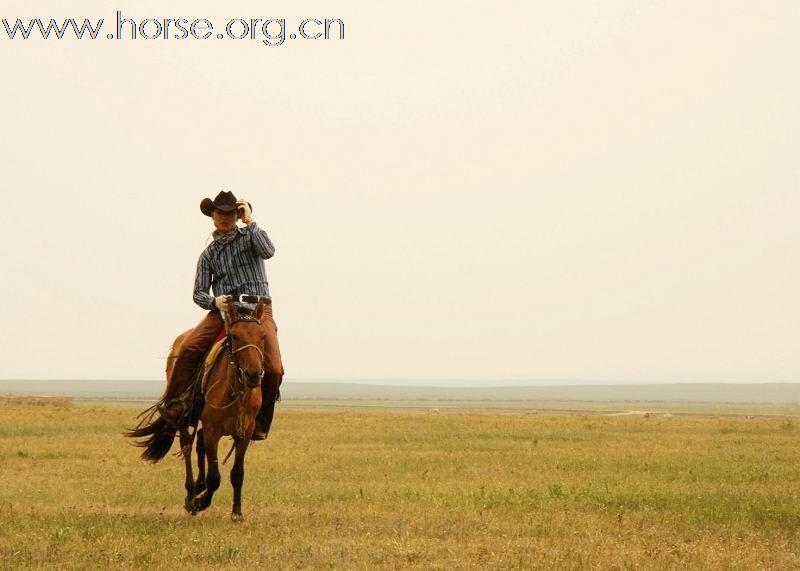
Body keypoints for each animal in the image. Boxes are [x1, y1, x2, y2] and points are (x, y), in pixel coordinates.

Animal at [126, 304, 272, 524]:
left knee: (198, 443)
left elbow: (237, 473)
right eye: (235, 336)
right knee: (187, 445)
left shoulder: (245, 433)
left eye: (262, 336)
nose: (253, 374)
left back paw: (198, 487)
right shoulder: (213, 431)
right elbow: (215, 477)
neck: (235, 391)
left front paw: (237, 513)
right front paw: (200, 502)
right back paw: (191, 493)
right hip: (184, 418)